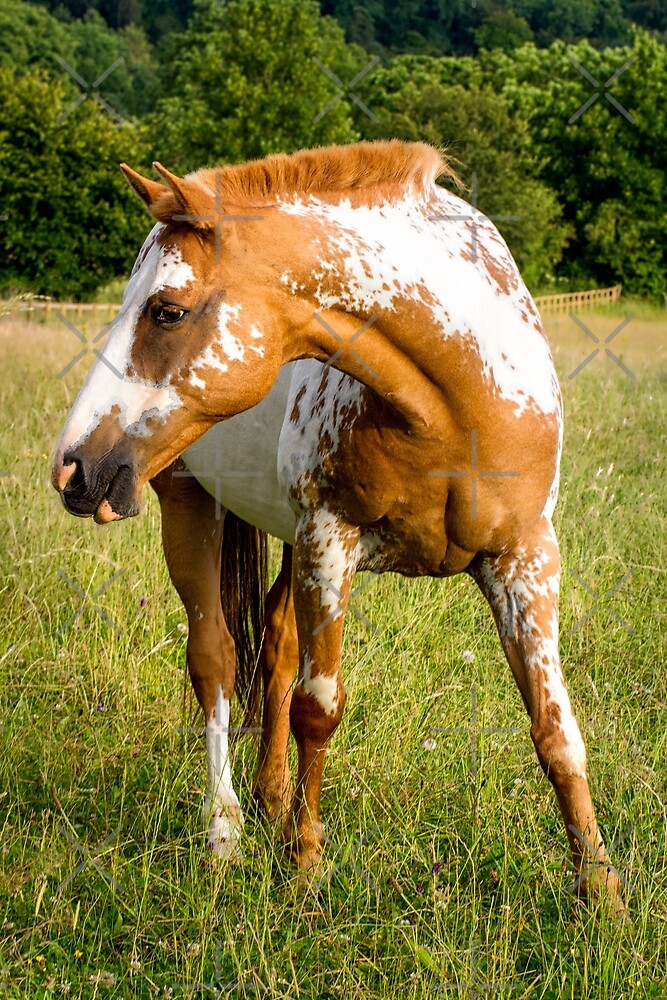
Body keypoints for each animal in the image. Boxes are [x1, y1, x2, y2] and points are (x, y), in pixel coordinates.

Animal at [51, 140, 625, 912]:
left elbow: (556, 729)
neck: (459, 399)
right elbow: (317, 709)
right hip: (189, 506)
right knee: (216, 660)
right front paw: (303, 865)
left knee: (274, 644)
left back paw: (268, 802)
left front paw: (602, 893)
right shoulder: (331, 541)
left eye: (166, 311)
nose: (74, 467)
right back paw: (225, 836)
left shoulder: (525, 557)